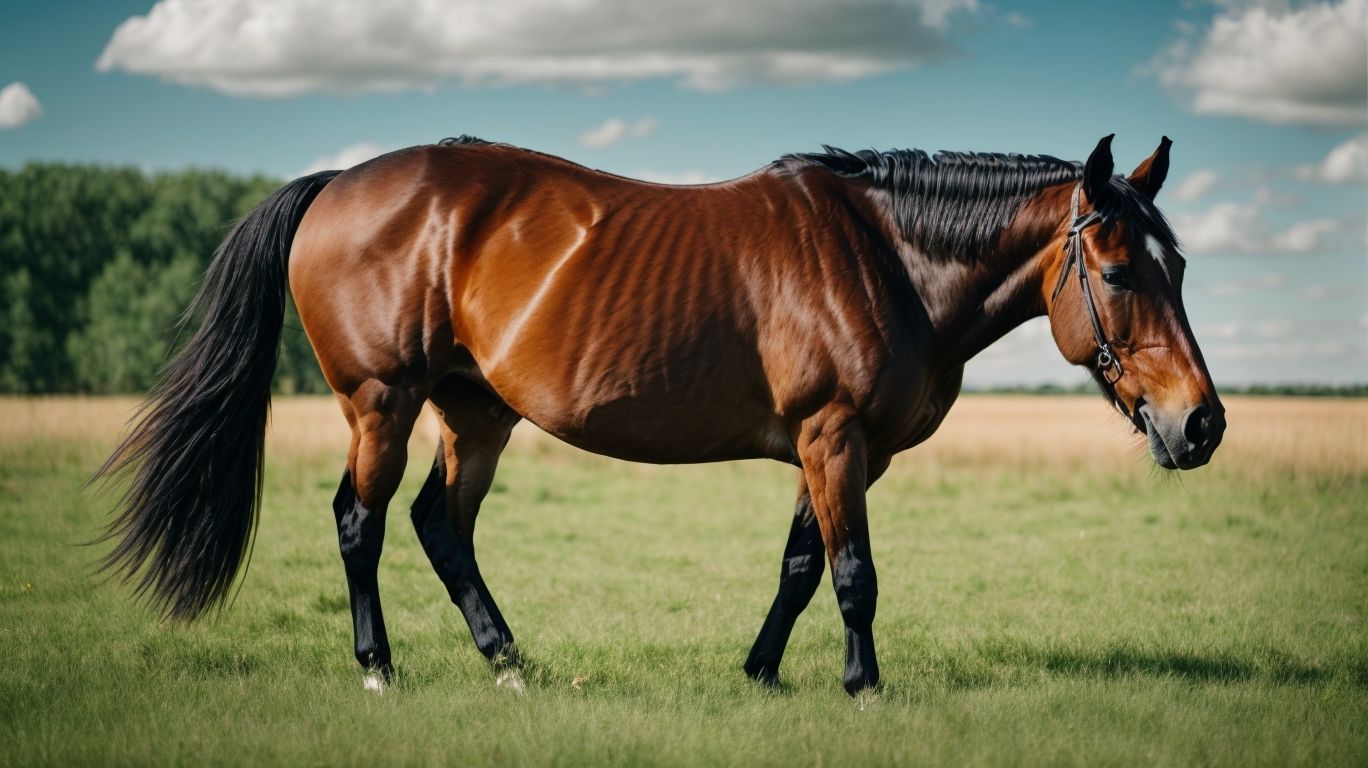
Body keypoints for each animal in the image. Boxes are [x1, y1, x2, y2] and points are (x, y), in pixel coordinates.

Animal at [96, 133, 1225, 696]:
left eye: (1177, 264)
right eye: (1118, 271)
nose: (1202, 424)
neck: (882, 256)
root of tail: (341, 184)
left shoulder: (836, 449)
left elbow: (801, 566)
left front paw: (762, 674)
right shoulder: (833, 436)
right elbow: (853, 574)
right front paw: (862, 686)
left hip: (475, 413)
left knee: (438, 526)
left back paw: (510, 664)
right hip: (383, 402)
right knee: (361, 523)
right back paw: (379, 671)